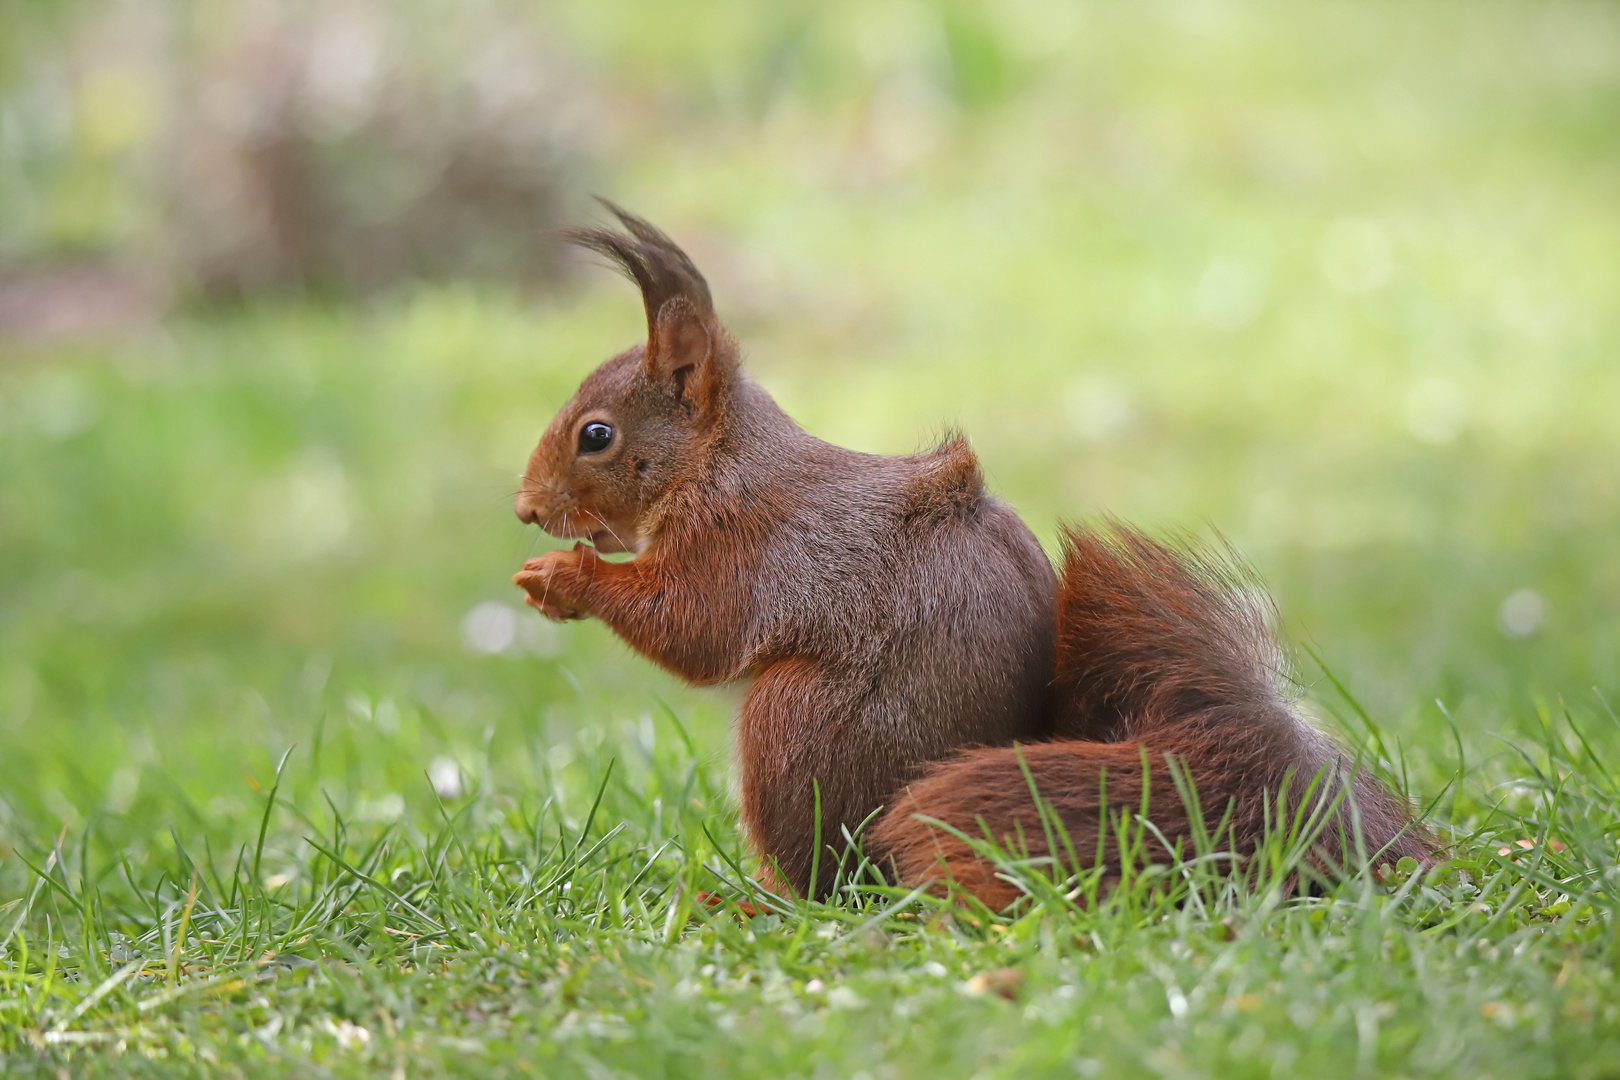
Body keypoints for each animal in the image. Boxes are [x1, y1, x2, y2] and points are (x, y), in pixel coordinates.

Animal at [515, 202, 1432, 906]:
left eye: (596, 435)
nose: (525, 510)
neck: (717, 462)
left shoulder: (743, 543)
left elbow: (694, 628)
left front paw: (565, 579)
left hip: (794, 725)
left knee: (840, 886)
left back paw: (762, 900)